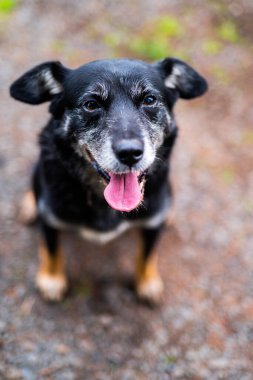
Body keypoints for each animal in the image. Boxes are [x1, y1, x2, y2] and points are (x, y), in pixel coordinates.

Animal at [9, 57, 208, 302]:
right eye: (91, 104)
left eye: (149, 100)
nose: (130, 153)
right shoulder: (50, 218)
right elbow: (52, 249)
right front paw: (52, 279)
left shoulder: (152, 224)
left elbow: (148, 253)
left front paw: (148, 281)